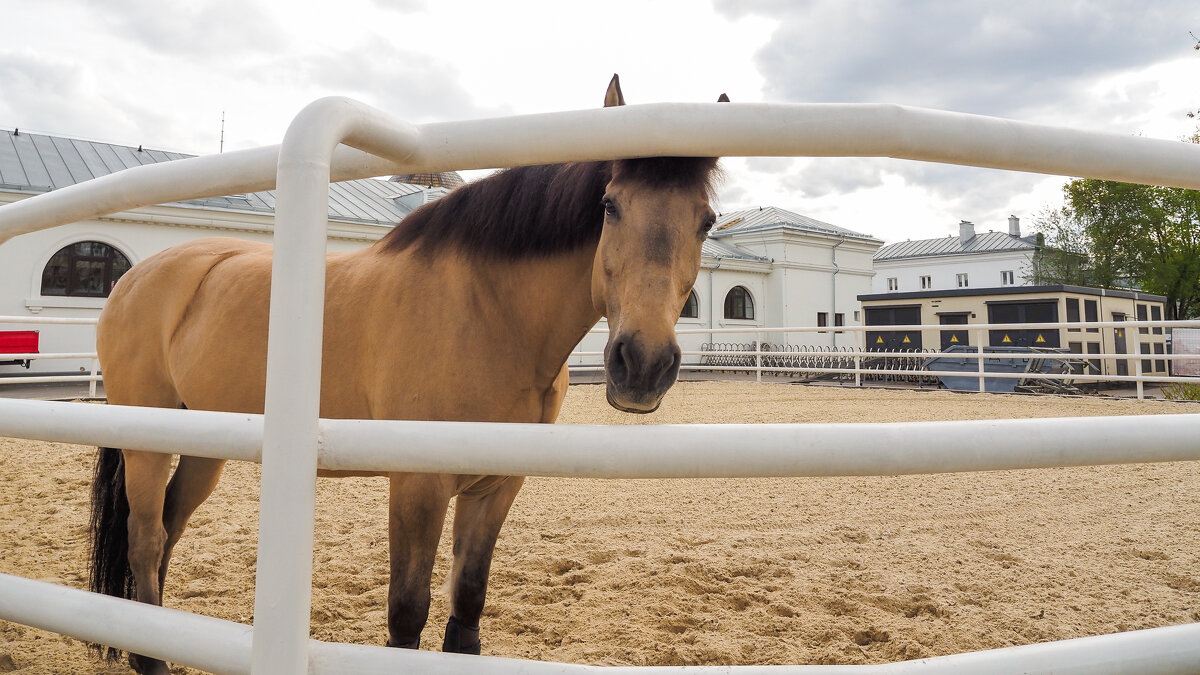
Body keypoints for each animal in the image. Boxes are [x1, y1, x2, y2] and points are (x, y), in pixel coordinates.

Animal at [88, 74, 720, 672]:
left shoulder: (497, 484)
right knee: (145, 538)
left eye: (707, 221)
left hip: (203, 446)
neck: (489, 310)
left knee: (168, 528)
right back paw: (151, 659)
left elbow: (467, 604)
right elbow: (407, 616)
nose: (643, 363)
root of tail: (137, 276)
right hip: (146, 444)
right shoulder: (418, 485)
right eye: (610, 205)